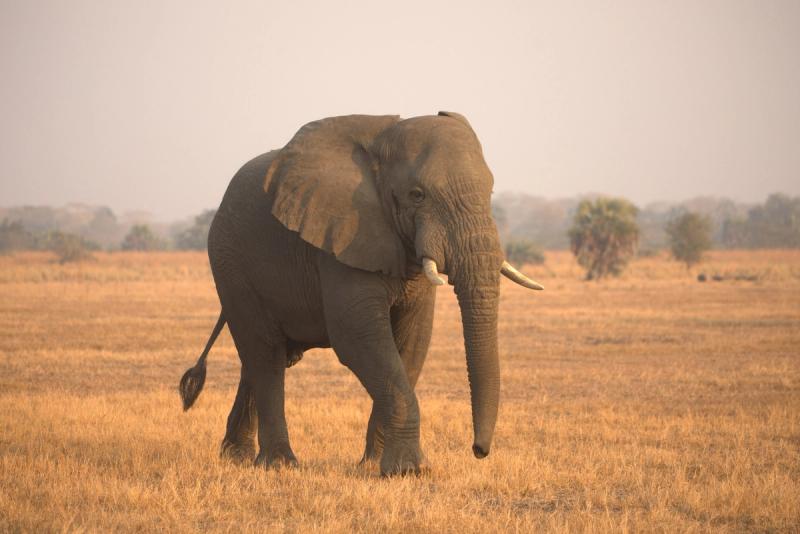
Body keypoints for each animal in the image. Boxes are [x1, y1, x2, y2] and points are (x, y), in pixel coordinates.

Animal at [179, 112, 543, 476]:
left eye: (491, 190)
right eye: (417, 194)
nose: (479, 450)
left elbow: (412, 341)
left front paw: (376, 466)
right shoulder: (341, 237)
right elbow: (358, 336)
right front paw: (409, 471)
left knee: (265, 357)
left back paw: (236, 457)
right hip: (230, 263)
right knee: (264, 354)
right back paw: (279, 464)